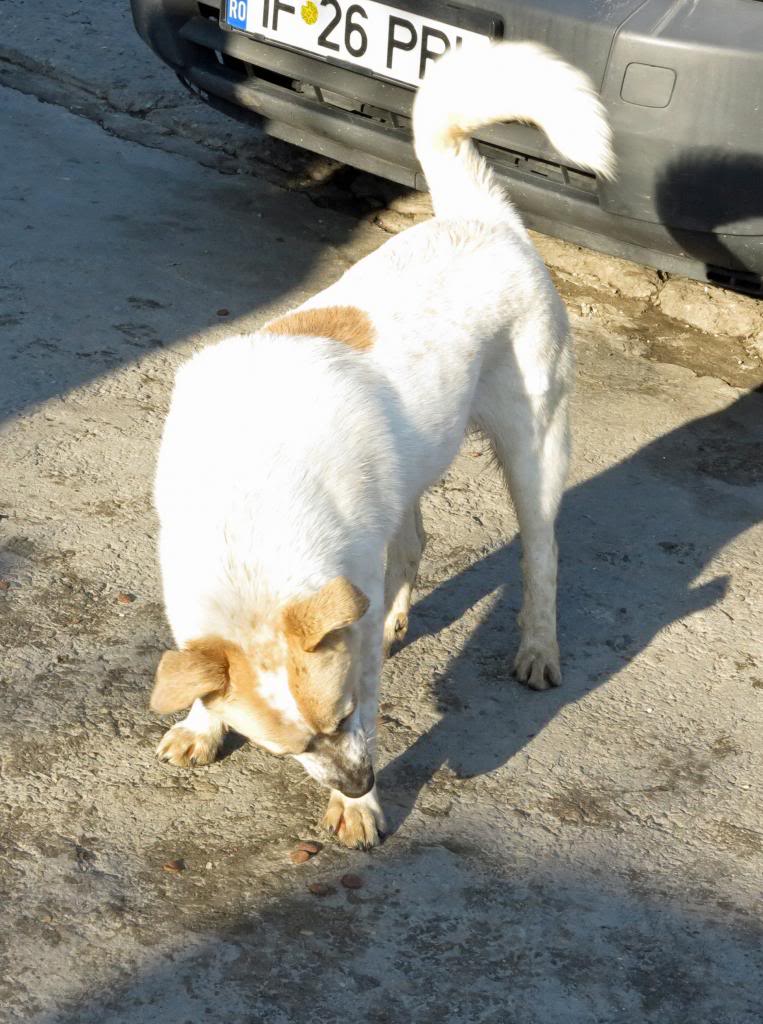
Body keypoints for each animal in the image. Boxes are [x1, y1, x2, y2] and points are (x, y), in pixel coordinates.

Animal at [150, 41, 614, 847]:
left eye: (340, 718)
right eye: (289, 749)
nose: (361, 782)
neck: (245, 513)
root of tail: (480, 216)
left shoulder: (350, 633)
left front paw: (359, 810)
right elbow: (209, 676)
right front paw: (203, 726)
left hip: (535, 449)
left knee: (542, 557)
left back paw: (536, 648)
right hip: (409, 469)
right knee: (416, 539)